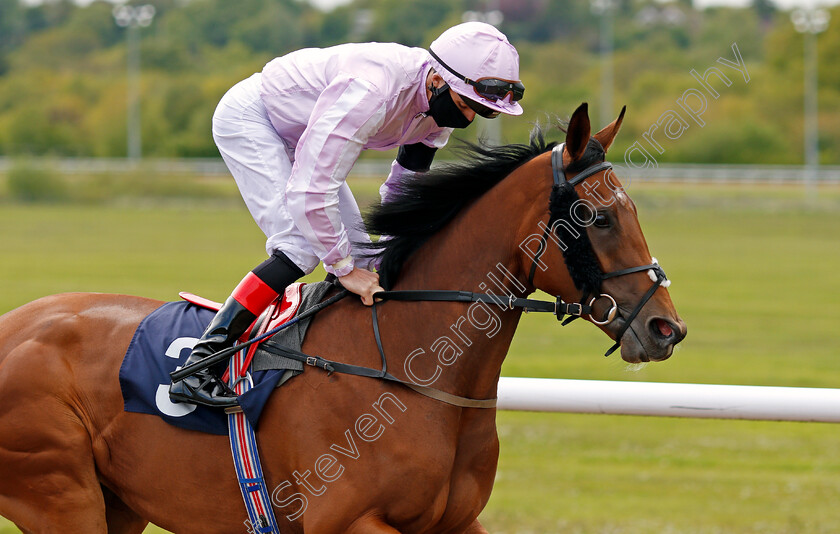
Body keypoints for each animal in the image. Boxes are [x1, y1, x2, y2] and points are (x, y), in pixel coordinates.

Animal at [0, 102, 684, 532]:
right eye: (598, 217)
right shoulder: (347, 520)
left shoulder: (455, 523)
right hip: (59, 493)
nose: (665, 328)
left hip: (117, 504)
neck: (410, 366)